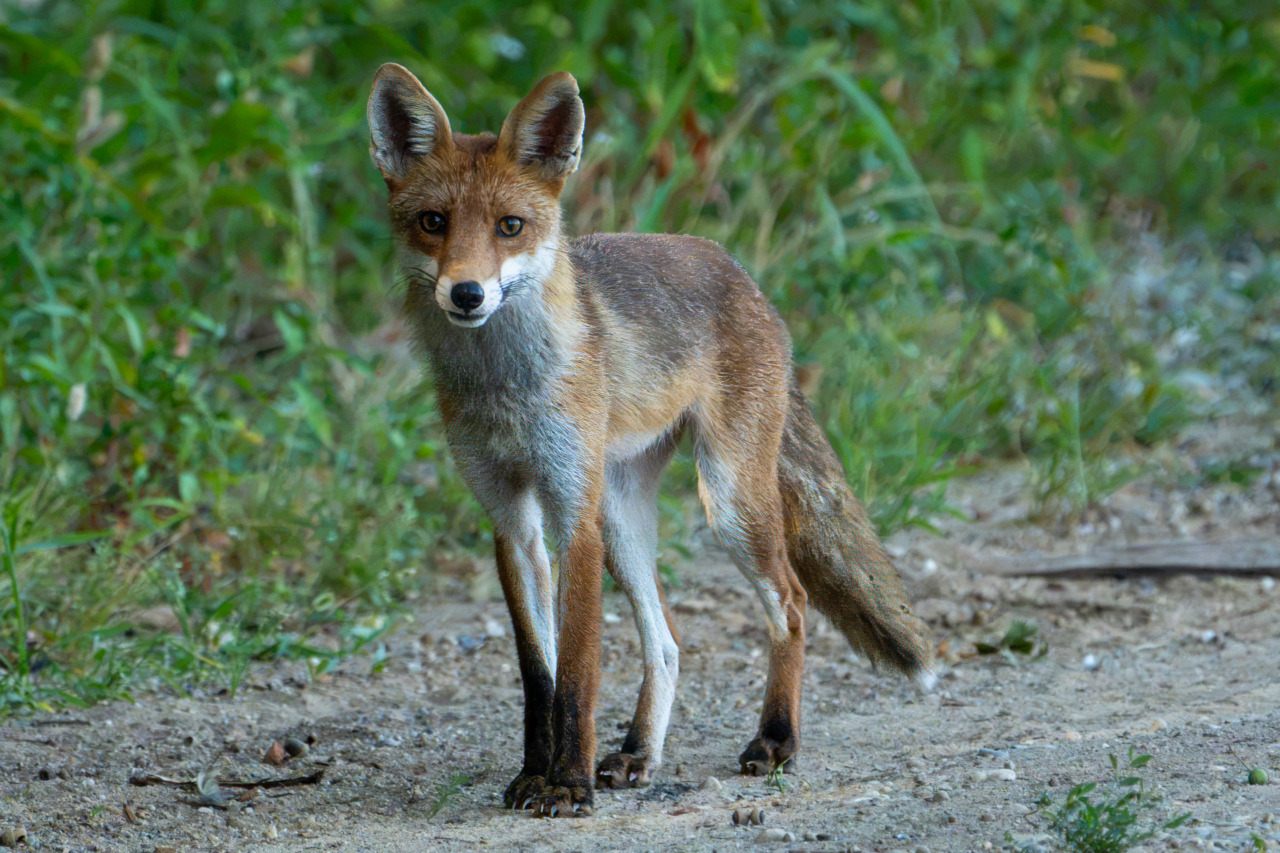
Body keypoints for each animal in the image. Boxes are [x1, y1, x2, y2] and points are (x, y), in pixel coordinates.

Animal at [366, 65, 935, 817]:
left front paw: (568, 784)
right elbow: (539, 674)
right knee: (667, 640)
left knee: (791, 602)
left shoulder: (572, 513)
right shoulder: (510, 519)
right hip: (624, 517)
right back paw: (639, 751)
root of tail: (738, 270)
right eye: (433, 223)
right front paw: (534, 773)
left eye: (509, 227)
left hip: (726, 501)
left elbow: (578, 670)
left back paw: (775, 739)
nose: (466, 294)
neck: (506, 388)